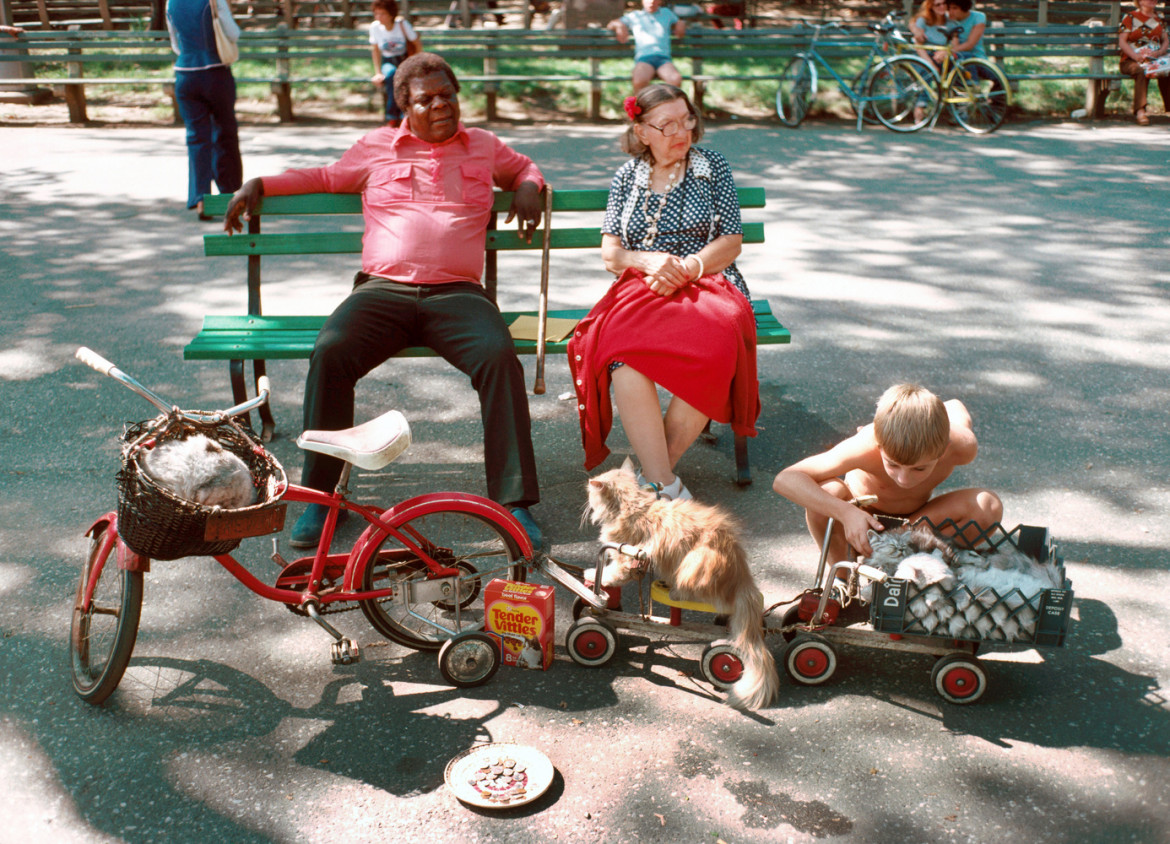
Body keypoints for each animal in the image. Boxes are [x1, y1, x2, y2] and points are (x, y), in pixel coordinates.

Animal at [582, 456, 776, 707]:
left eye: (590, 494)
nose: (586, 501)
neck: (635, 506)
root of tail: (743, 576)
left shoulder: (626, 558)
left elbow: (610, 573)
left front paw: (592, 577)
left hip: (694, 563)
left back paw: (675, 592)